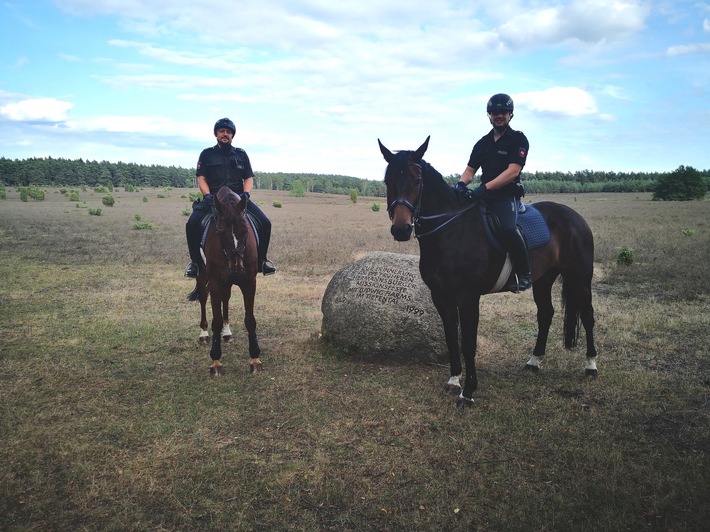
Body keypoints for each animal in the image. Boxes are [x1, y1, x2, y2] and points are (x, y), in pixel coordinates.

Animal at [189, 186, 264, 374]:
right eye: (220, 232)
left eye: (245, 231)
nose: (236, 268)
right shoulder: (216, 282)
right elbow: (215, 321)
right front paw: (216, 361)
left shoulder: (249, 282)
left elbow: (250, 320)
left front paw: (255, 359)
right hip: (202, 275)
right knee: (203, 298)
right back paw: (203, 334)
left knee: (226, 299)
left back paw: (227, 331)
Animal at [382, 137, 596, 408]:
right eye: (387, 181)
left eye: (417, 181)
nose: (401, 229)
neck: (451, 231)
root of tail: (574, 216)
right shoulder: (440, 296)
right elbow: (451, 337)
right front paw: (454, 380)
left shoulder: (468, 297)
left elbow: (468, 343)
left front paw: (468, 392)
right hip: (543, 280)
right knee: (546, 314)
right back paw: (534, 361)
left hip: (580, 277)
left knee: (588, 316)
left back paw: (591, 365)